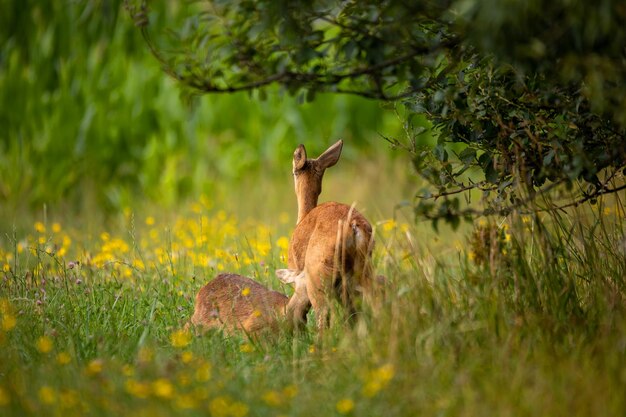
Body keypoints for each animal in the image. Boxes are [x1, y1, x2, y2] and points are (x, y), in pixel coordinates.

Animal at [276, 141, 372, 330]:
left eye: (293, 171)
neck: (303, 216)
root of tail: (354, 226)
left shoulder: (298, 274)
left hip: (318, 274)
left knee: (324, 316)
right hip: (362, 271)